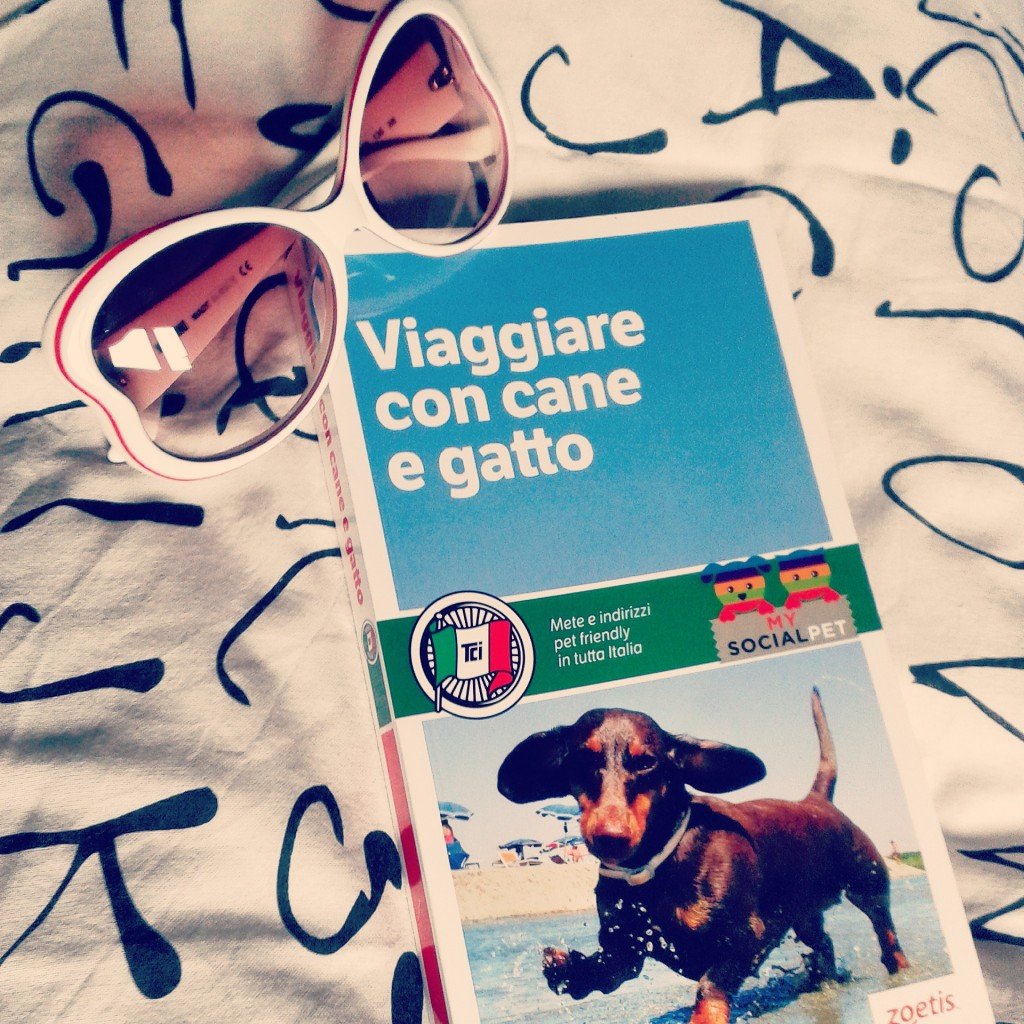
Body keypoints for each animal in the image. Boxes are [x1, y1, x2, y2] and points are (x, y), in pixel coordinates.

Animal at [496, 688, 909, 1024]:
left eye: (646, 762)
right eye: (581, 760)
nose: (610, 838)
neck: (657, 867)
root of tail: (817, 800)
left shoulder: (746, 937)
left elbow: (711, 986)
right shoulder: (625, 949)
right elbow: (604, 973)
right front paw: (568, 971)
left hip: (869, 887)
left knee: (886, 935)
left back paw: (897, 968)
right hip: (805, 916)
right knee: (824, 945)